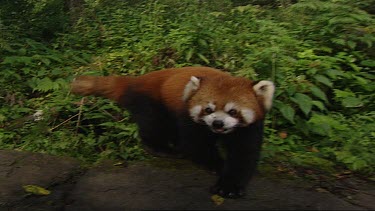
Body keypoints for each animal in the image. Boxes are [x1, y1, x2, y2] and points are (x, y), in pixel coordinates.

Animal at [71, 66, 276, 198]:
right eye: (208, 109)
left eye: (233, 111)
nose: (218, 123)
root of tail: (136, 80)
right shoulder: (187, 116)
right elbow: (196, 145)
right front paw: (218, 164)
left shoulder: (250, 128)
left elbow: (244, 155)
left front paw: (229, 186)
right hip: (151, 100)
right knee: (153, 124)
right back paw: (161, 148)